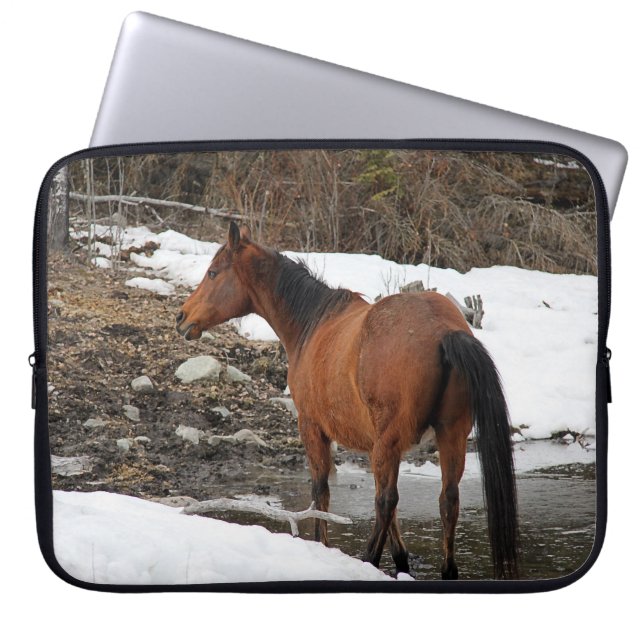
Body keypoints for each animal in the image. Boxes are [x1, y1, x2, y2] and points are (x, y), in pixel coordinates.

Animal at [176, 222, 519, 579]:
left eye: (213, 273)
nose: (181, 317)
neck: (312, 324)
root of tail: (444, 330)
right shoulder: (377, 445)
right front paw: (401, 559)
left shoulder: (313, 429)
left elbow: (321, 493)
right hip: (448, 436)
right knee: (446, 501)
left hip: (392, 442)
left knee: (386, 501)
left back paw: (368, 559)